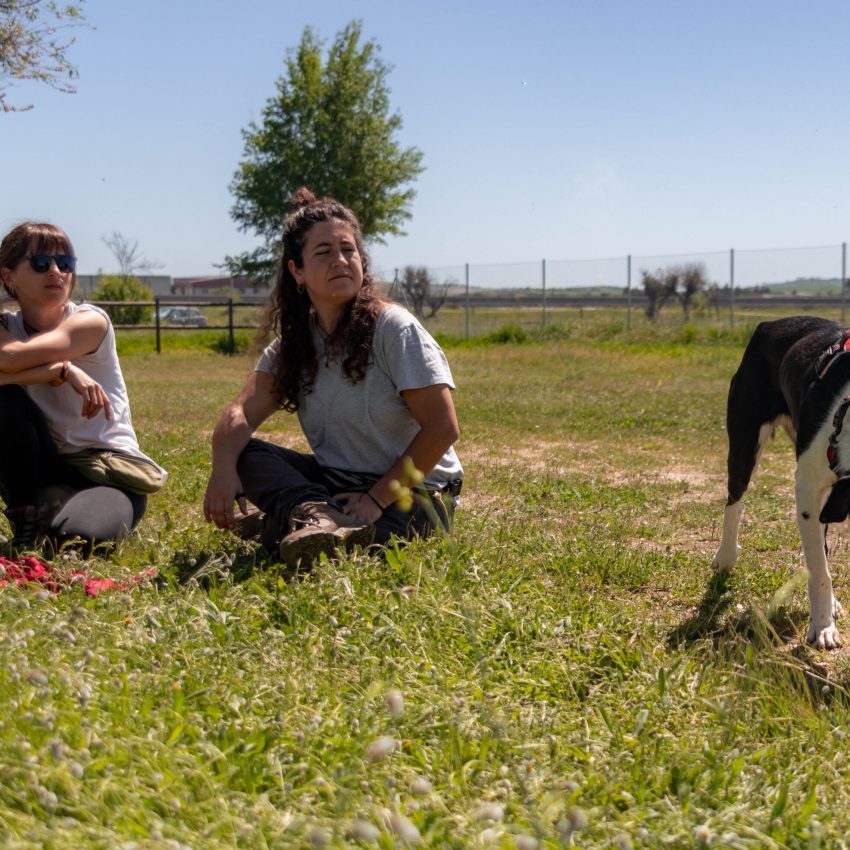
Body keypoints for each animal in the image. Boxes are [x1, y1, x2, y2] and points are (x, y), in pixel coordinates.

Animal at [712, 314, 850, 644]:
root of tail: (771, 323)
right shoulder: (808, 488)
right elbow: (819, 570)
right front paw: (822, 627)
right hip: (744, 442)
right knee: (734, 502)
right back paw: (726, 557)